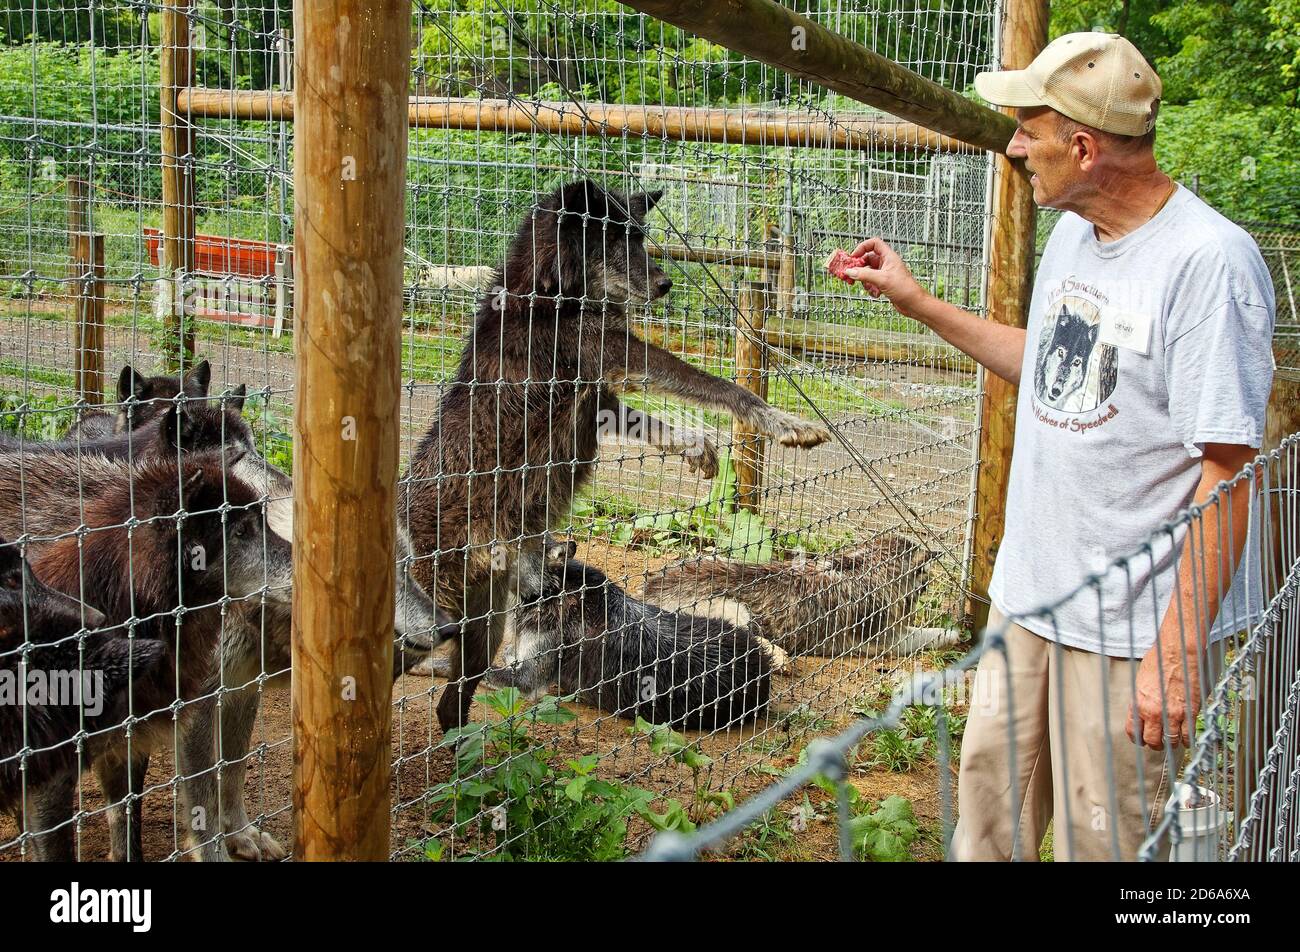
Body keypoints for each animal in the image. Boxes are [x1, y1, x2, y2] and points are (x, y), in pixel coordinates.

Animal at [486, 538, 769, 733]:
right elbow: (510, 654)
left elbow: (492, 672)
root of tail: (762, 663)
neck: (553, 592)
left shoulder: (530, 680)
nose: (487, 543)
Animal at [639, 535, 956, 660]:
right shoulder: (883, 640)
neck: (870, 564)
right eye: (926, 578)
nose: (928, 586)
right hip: (733, 609)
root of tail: (648, 591)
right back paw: (779, 657)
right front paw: (954, 634)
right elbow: (927, 634)